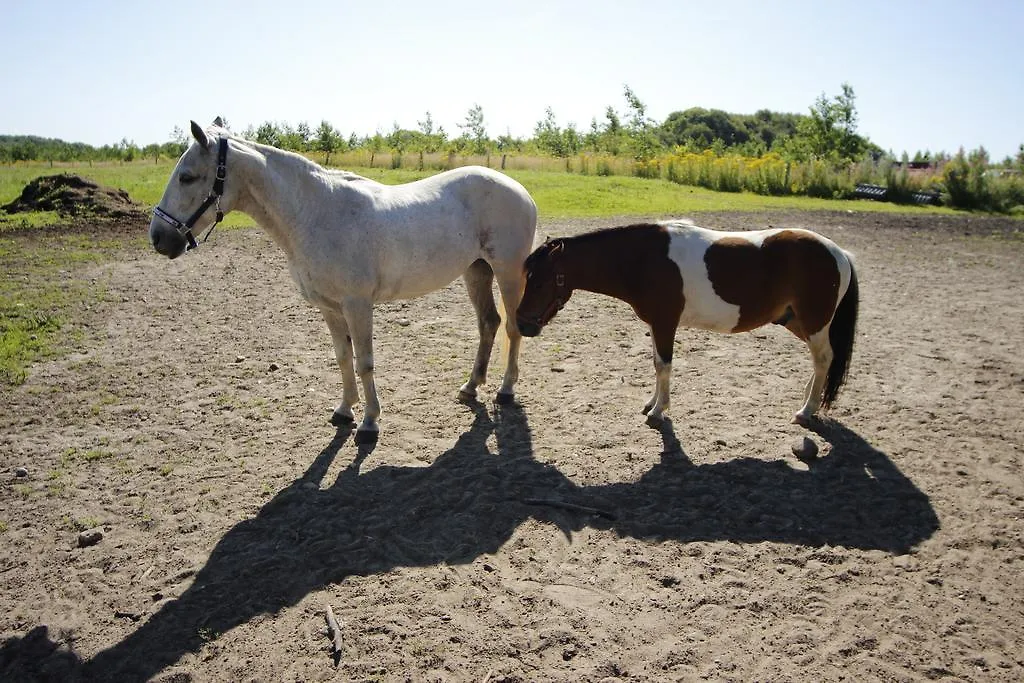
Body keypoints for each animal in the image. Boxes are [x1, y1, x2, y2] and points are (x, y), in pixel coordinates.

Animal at [152, 119, 540, 440]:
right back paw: (471, 387)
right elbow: (342, 357)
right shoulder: (330, 308)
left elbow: (364, 361)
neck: (316, 214)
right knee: (489, 324)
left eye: (187, 177)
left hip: (506, 272)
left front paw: (369, 423)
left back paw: (506, 390)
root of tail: (519, 190)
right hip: (476, 271)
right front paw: (344, 411)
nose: (158, 238)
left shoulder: (357, 305)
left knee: (511, 327)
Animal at [516, 222, 860, 423]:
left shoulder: (665, 324)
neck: (642, 259)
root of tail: (838, 252)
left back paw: (806, 410)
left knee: (824, 358)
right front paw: (651, 403)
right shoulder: (656, 325)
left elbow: (665, 366)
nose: (522, 325)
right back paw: (808, 401)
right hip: (798, 322)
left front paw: (659, 411)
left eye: (539, 281)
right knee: (822, 360)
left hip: (814, 323)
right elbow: (657, 364)